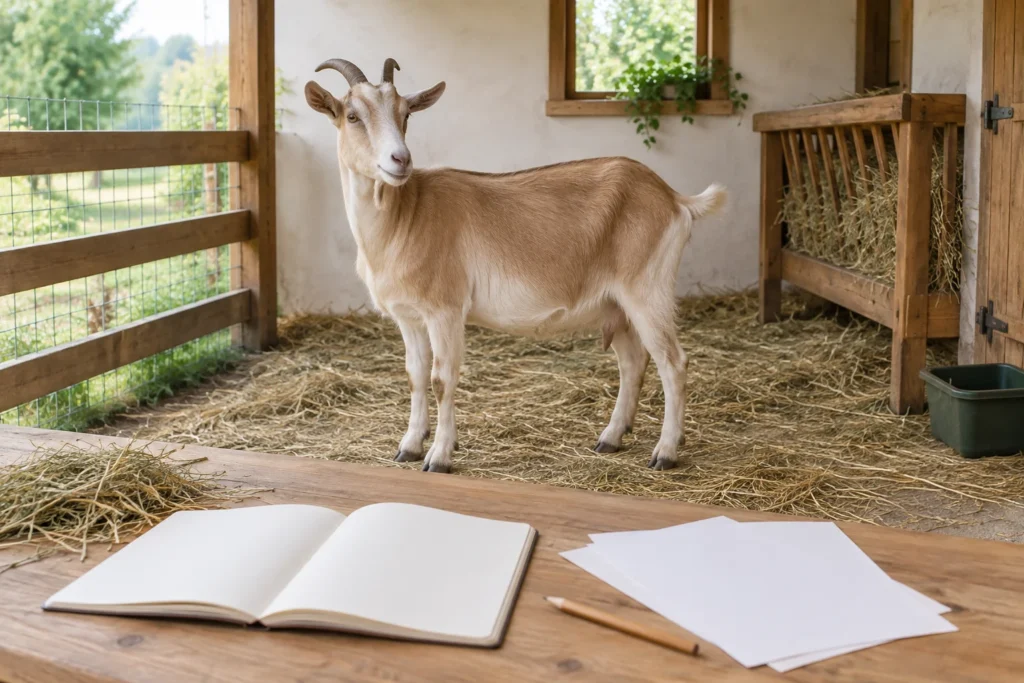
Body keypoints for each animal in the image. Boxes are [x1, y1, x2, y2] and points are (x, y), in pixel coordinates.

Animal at [305, 58, 726, 473]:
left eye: (405, 113)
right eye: (352, 115)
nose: (400, 160)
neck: (404, 217)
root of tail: (674, 199)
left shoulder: (445, 310)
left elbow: (442, 379)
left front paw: (439, 456)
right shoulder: (409, 317)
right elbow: (415, 376)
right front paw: (408, 446)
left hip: (648, 290)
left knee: (673, 363)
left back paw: (665, 452)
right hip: (616, 304)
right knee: (633, 362)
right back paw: (611, 437)